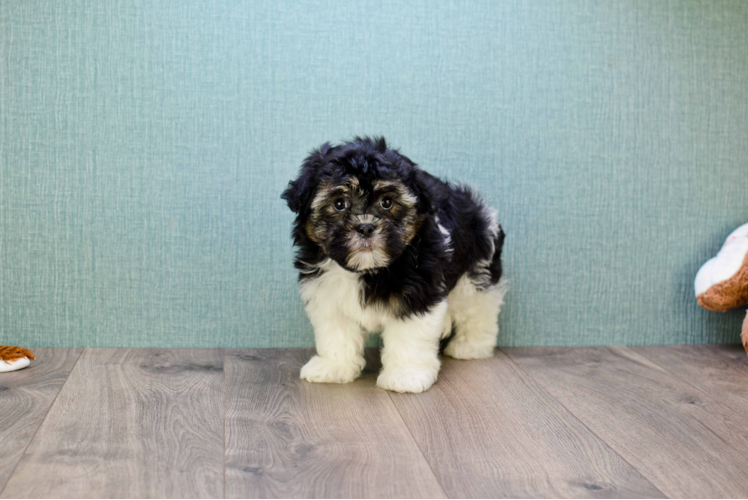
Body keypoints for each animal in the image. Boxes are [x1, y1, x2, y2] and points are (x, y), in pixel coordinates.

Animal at [284, 138, 506, 394]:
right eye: (339, 204)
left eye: (387, 202)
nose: (366, 227)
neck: (368, 269)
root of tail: (474, 204)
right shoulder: (326, 292)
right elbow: (337, 332)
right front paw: (334, 367)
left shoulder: (418, 293)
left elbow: (409, 335)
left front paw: (406, 375)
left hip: (476, 270)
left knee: (479, 308)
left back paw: (471, 346)